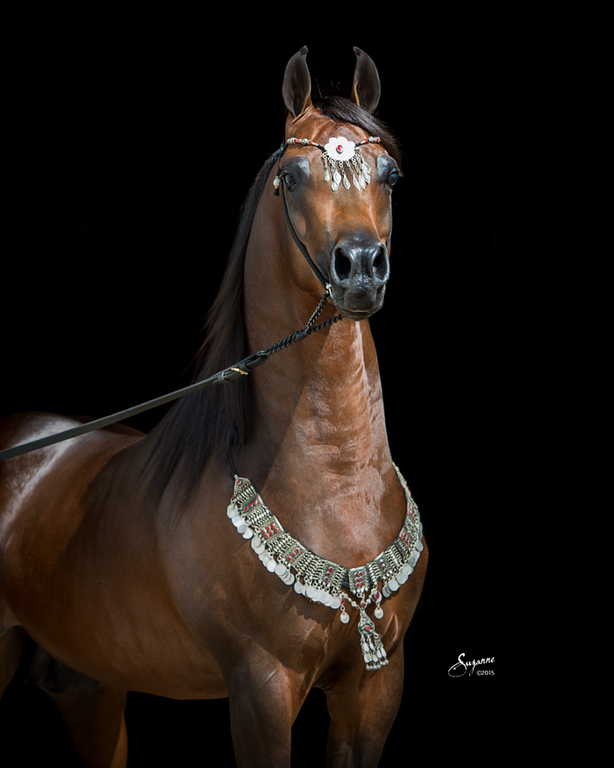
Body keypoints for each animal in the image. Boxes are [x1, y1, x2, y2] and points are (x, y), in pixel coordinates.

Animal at [0, 46, 427, 767]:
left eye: (391, 175)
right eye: (291, 176)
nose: (361, 267)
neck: (338, 490)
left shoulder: (378, 686)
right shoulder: (260, 688)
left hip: (91, 690)